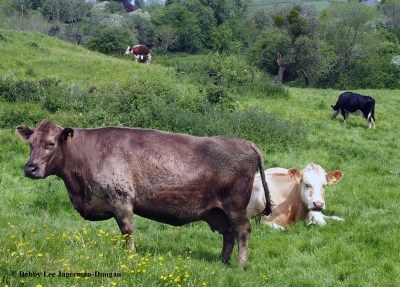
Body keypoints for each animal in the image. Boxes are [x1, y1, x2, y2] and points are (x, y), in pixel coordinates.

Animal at [15, 120, 272, 268]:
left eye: (51, 143)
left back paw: (240, 265)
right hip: (218, 211)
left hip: (235, 207)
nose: (30, 168)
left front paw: (130, 255)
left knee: (242, 231)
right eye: (30, 143)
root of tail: (246, 143)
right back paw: (223, 262)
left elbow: (127, 230)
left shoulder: (121, 198)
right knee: (228, 234)